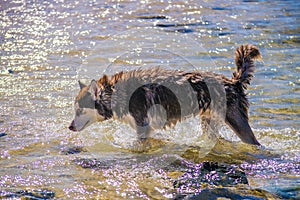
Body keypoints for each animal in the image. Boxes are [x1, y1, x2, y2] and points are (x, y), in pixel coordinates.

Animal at [69, 44, 262, 145]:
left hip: (239, 127)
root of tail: (233, 82)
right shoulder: (149, 128)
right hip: (209, 125)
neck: (115, 93)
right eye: (75, 110)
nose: (70, 127)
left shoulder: (143, 127)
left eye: (80, 111)